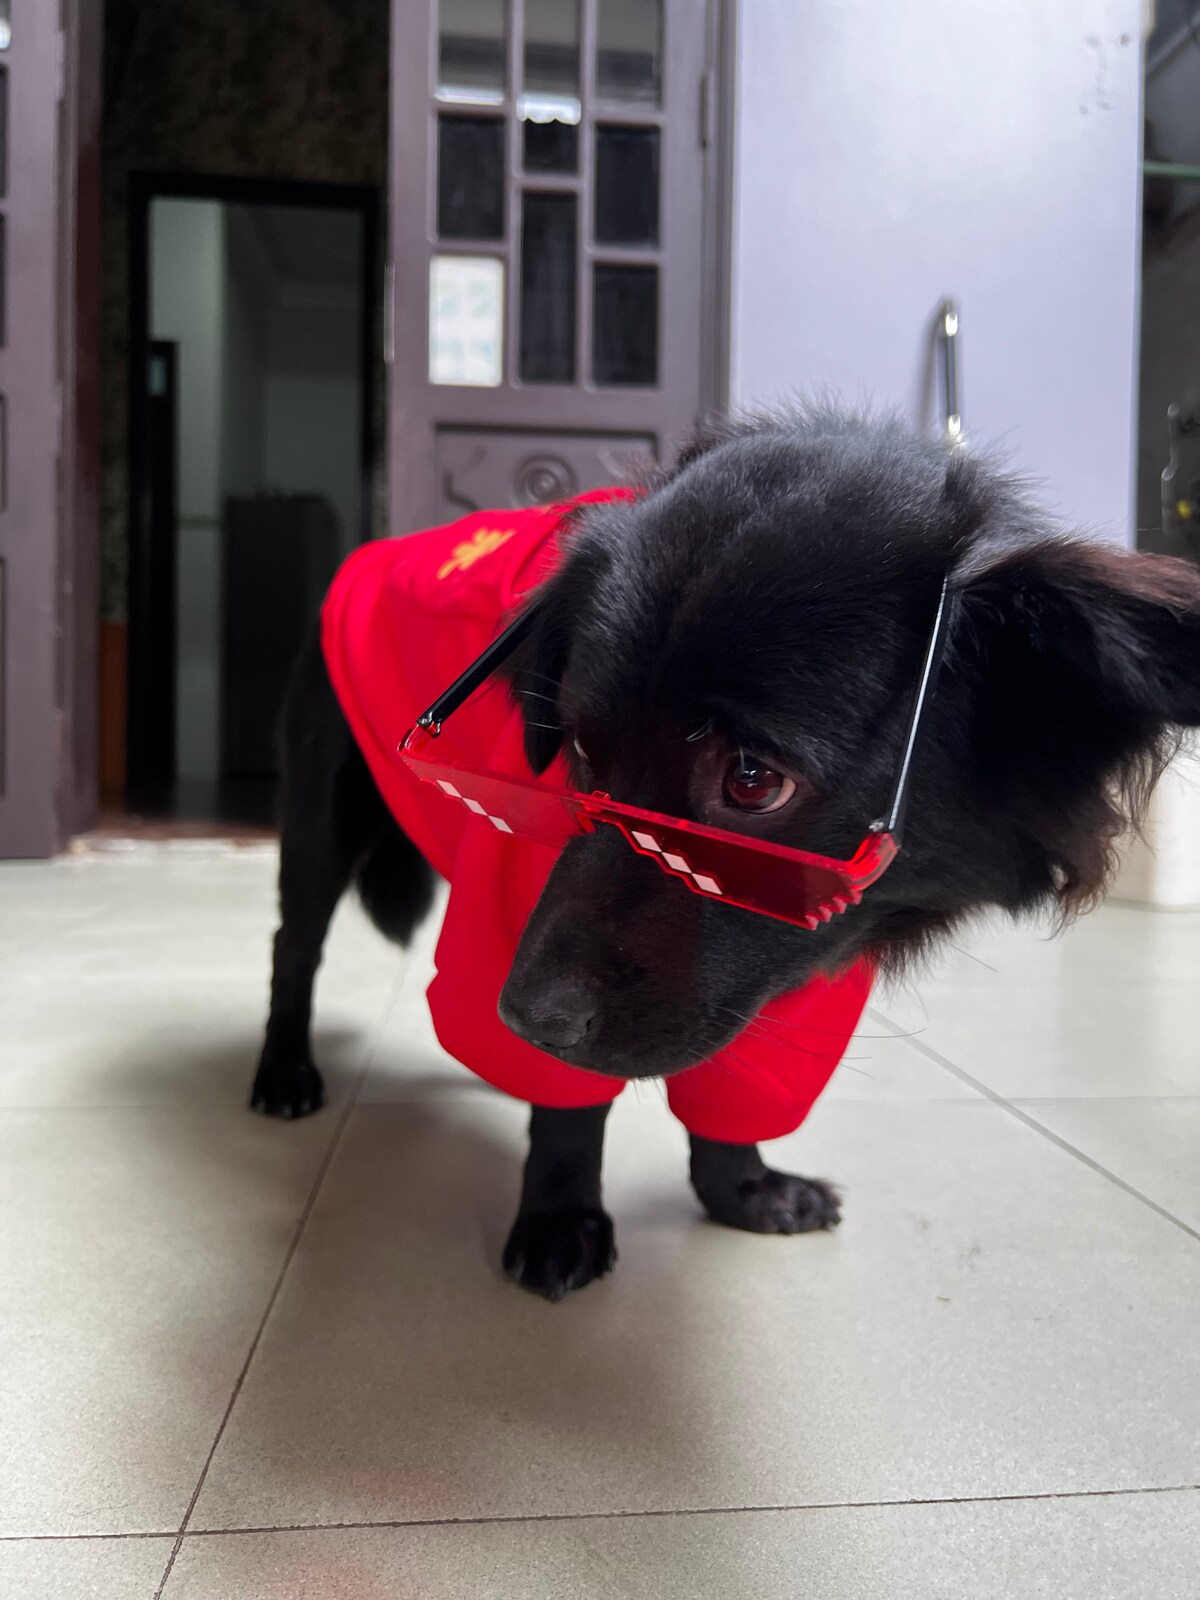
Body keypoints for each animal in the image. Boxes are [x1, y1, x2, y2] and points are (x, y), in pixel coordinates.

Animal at [251, 407, 1200, 1300]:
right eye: (582, 751)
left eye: (752, 780)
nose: (525, 1016)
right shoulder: (515, 902)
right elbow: (568, 1104)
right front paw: (559, 1210)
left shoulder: (796, 963)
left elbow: (739, 1081)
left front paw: (738, 1189)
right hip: (321, 815)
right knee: (293, 945)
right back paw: (286, 1070)